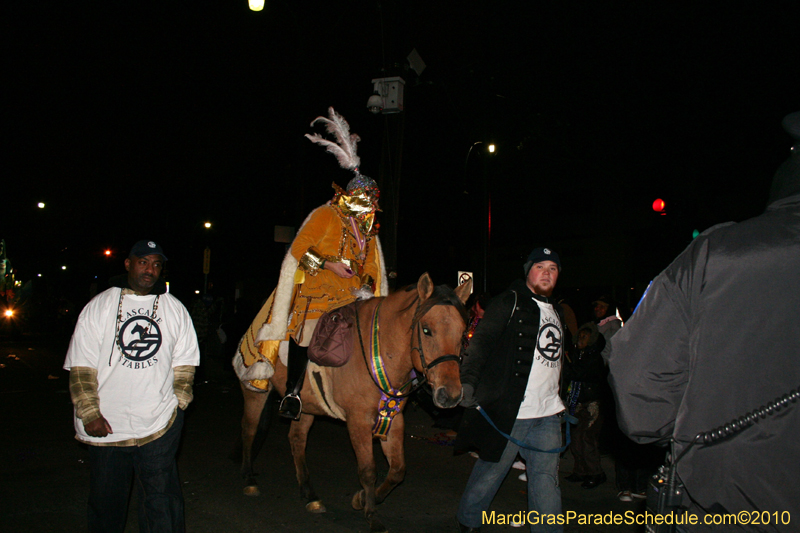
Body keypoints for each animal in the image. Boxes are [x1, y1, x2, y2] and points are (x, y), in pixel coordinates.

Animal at [234, 272, 472, 528]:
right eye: (426, 330)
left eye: (462, 334)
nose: (450, 395)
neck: (379, 350)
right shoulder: (358, 421)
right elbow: (368, 470)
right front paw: (371, 514)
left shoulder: (393, 418)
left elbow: (397, 470)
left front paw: (363, 499)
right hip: (255, 390)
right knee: (248, 428)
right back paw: (249, 480)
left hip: (306, 407)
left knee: (296, 440)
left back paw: (309, 494)